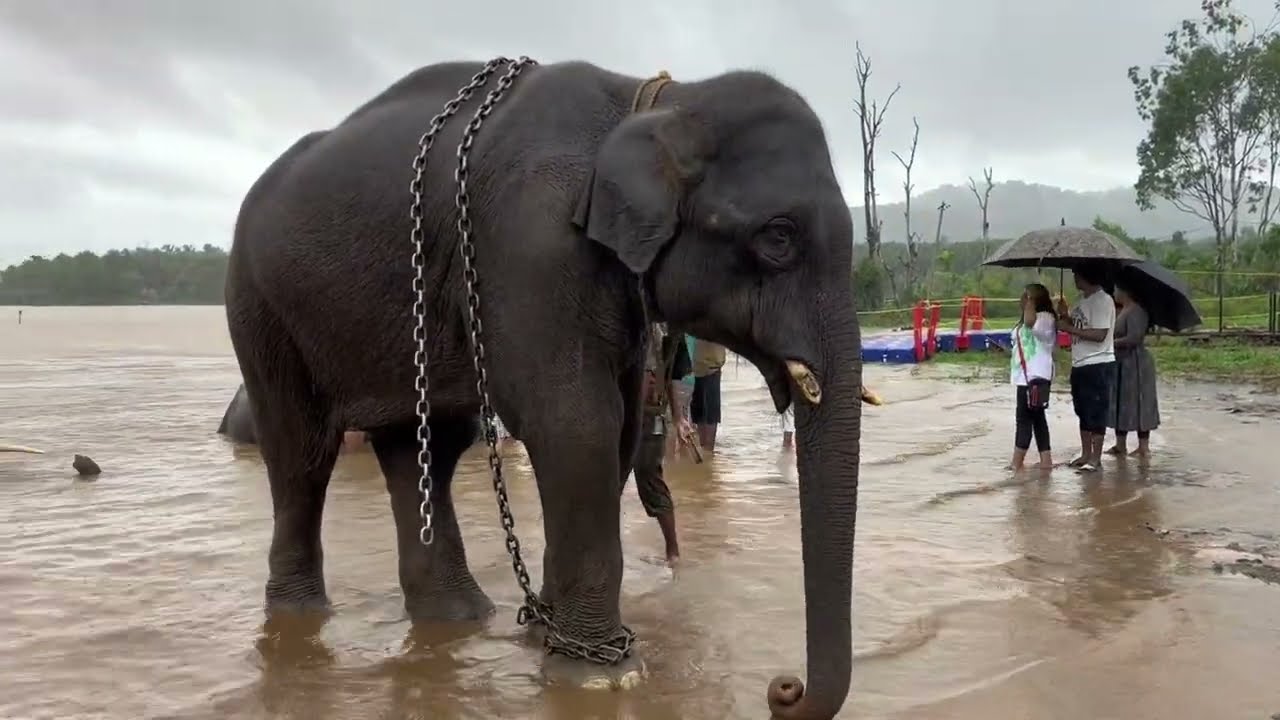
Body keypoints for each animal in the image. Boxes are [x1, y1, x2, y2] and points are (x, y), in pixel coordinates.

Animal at [224, 59, 863, 720]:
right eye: (779, 237)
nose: (782, 689)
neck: (656, 101)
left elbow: (620, 430)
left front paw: (548, 635)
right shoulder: (530, 243)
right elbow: (575, 424)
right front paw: (602, 676)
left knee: (423, 449)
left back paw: (457, 619)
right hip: (258, 303)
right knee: (302, 452)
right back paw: (302, 617)